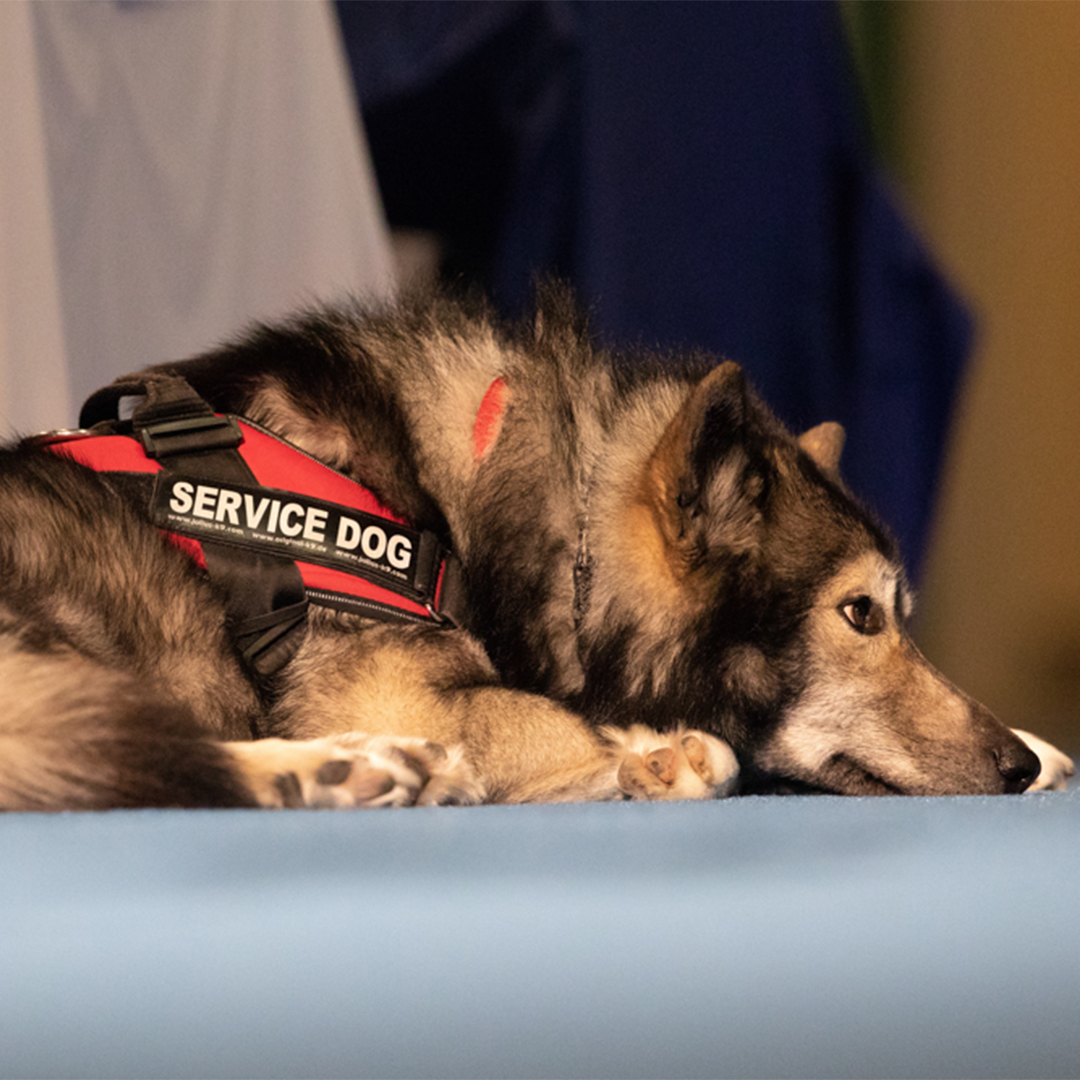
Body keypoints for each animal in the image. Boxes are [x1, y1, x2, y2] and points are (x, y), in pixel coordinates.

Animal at [0, 282, 1067, 807]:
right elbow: (572, 722)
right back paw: (336, 771)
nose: (1013, 766)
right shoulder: (397, 694)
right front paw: (654, 755)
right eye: (858, 614)